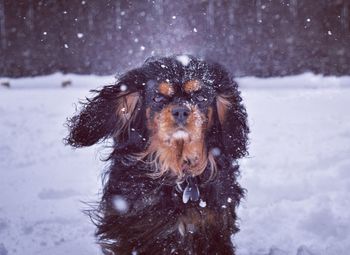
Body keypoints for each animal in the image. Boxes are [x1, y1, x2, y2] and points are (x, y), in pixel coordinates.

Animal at [65, 54, 249, 254]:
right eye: (158, 98)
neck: (178, 173)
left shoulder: (214, 229)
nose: (181, 110)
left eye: (200, 96)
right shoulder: (135, 231)